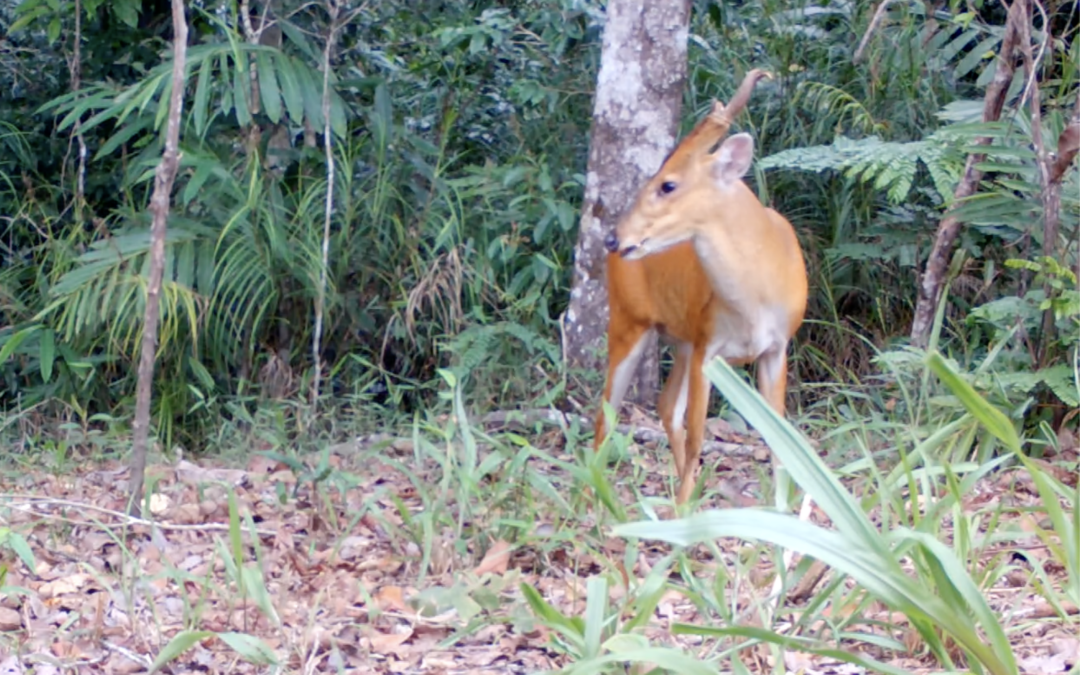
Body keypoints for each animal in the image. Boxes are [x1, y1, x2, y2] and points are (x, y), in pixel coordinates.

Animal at [596, 72, 807, 505]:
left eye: (668, 185)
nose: (614, 238)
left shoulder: (776, 347)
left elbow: (780, 445)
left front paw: (782, 513)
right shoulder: (709, 345)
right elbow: (697, 437)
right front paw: (682, 513)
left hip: (681, 338)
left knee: (663, 406)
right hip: (629, 319)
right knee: (605, 415)